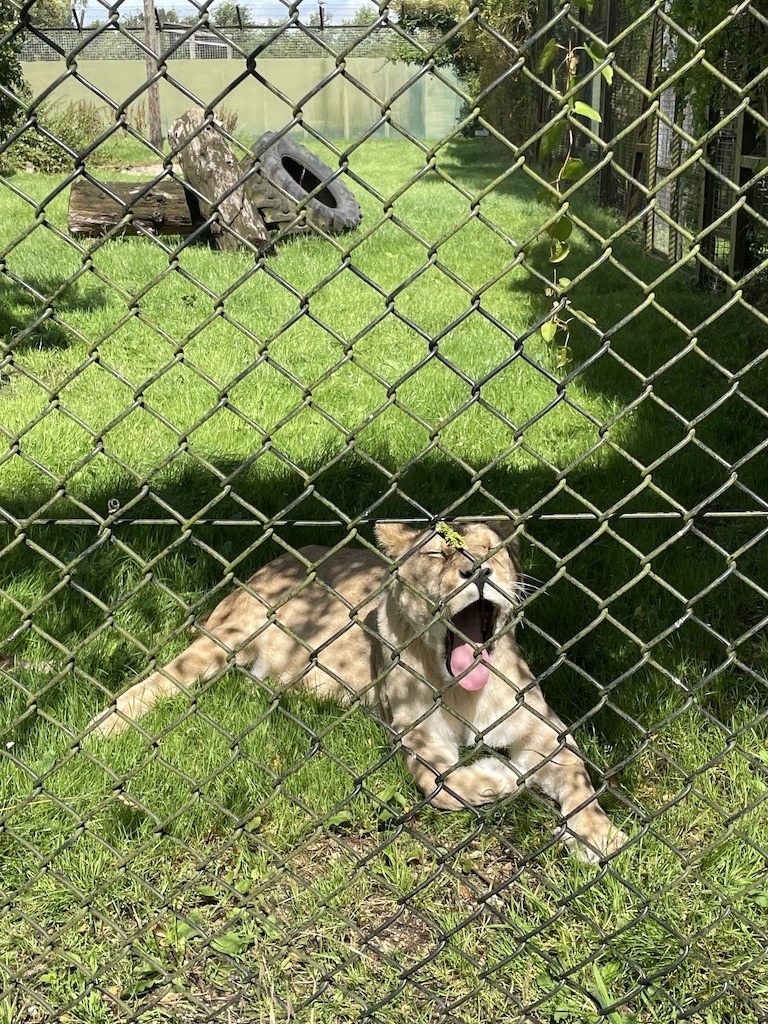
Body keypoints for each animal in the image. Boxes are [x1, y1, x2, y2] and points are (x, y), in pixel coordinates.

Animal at [89, 521, 626, 862]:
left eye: (493, 549)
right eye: (437, 552)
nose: (477, 571)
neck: (464, 688)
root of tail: (281, 558)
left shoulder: (545, 731)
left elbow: (579, 781)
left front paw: (600, 836)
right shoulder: (412, 733)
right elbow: (441, 783)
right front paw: (495, 778)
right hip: (220, 642)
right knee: (154, 682)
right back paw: (101, 729)